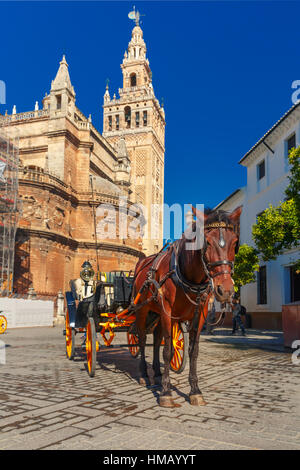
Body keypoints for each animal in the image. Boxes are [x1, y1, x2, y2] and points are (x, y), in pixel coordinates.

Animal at [131, 206, 241, 408]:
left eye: (235, 243)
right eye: (207, 242)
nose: (226, 290)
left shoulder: (200, 315)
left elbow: (192, 351)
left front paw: (195, 390)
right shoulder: (167, 311)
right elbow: (168, 351)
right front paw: (166, 392)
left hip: (157, 313)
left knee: (156, 340)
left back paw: (157, 374)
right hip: (143, 310)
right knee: (142, 339)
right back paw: (144, 374)